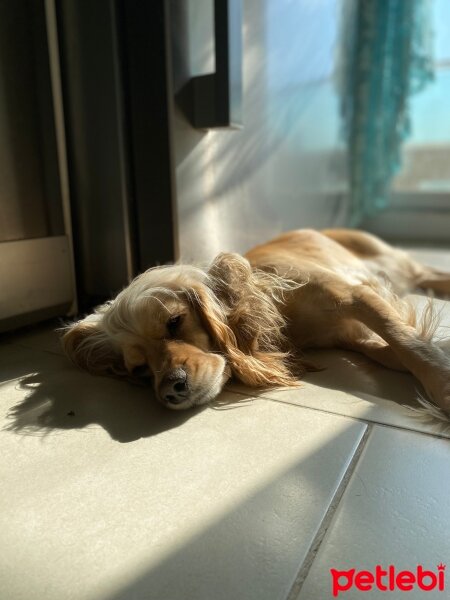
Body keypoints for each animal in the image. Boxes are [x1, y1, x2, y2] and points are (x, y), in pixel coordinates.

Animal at [60, 227, 450, 414]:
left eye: (174, 322)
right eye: (140, 370)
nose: (171, 389)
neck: (282, 310)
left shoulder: (355, 295)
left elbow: (407, 342)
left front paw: (442, 385)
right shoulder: (354, 337)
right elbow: (394, 351)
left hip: (393, 263)